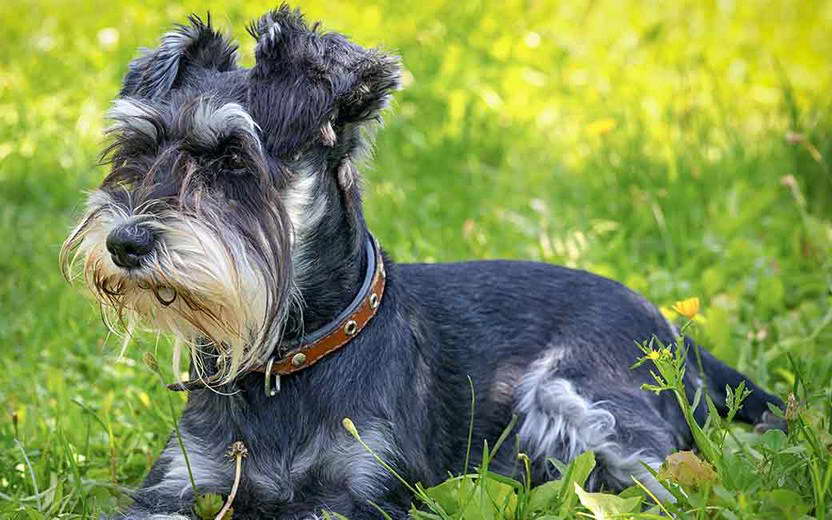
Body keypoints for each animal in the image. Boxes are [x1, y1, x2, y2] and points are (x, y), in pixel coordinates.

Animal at [63, 5, 788, 520]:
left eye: (233, 159)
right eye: (136, 150)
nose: (125, 244)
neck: (288, 358)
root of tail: (674, 333)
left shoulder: (363, 495)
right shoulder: (180, 486)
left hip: (576, 398)